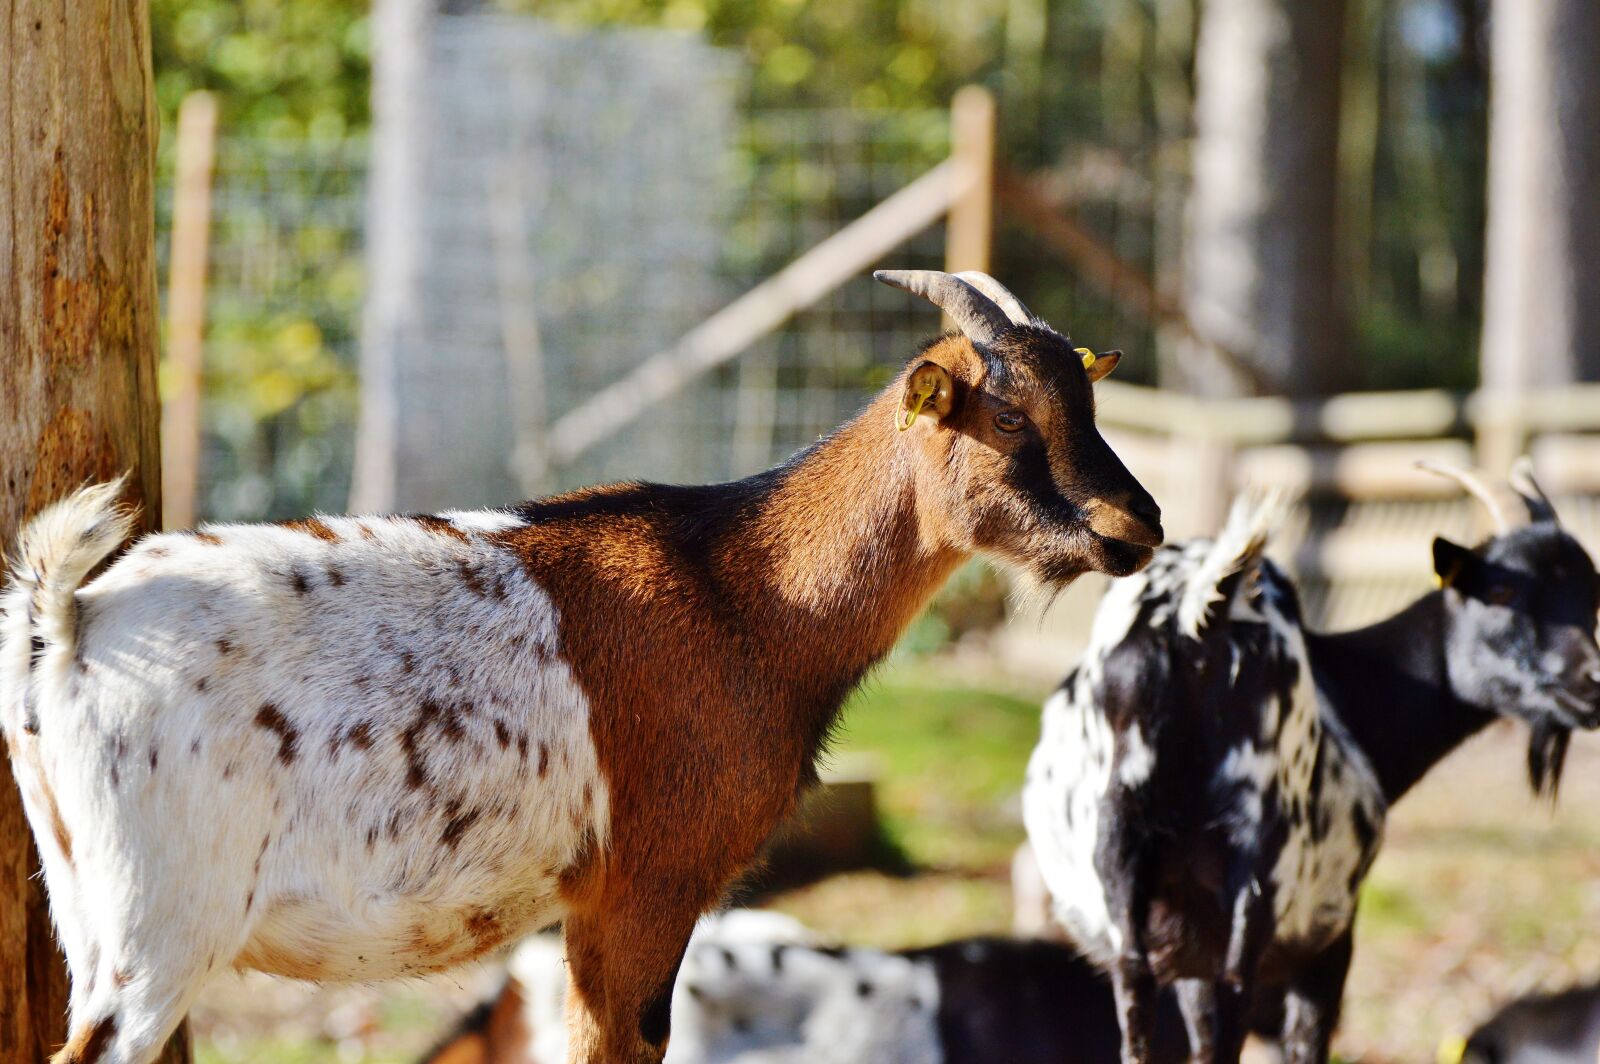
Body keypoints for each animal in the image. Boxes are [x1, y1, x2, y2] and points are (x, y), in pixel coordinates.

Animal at [0, 269, 1162, 1064]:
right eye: (1006, 413)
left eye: (1090, 405)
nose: (1137, 525)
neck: (742, 591)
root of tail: (73, 617)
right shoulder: (646, 882)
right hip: (161, 924)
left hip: (87, 906)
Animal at [1022, 462, 1600, 1064]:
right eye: (1503, 589)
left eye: (1593, 596)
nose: (1592, 685)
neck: (1349, 691)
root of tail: (1195, 615)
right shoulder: (1328, 937)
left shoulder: (1186, 948)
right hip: (1261, 862)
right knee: (1235, 996)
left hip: (1120, 858)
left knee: (1138, 1002)